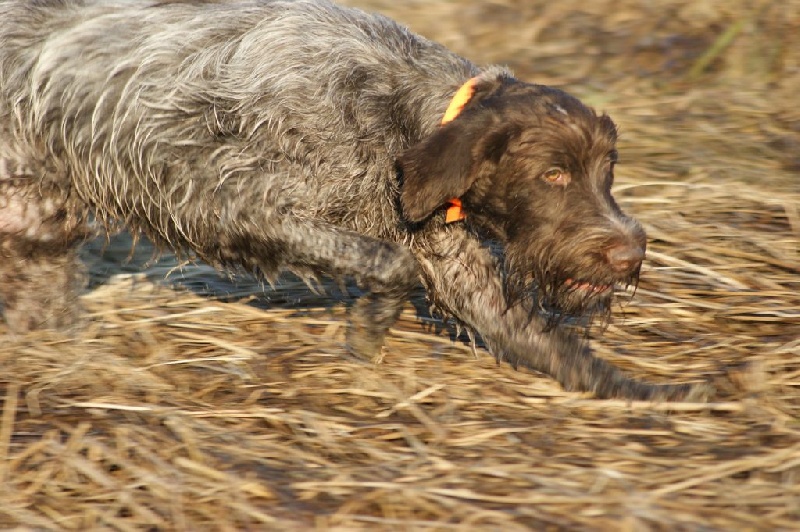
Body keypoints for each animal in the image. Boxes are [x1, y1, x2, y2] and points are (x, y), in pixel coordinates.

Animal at [0, 0, 712, 400]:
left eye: (606, 174)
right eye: (554, 176)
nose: (629, 256)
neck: (400, 109)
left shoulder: (461, 271)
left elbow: (561, 352)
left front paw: (675, 393)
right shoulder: (236, 206)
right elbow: (390, 268)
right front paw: (365, 338)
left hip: (39, 216)